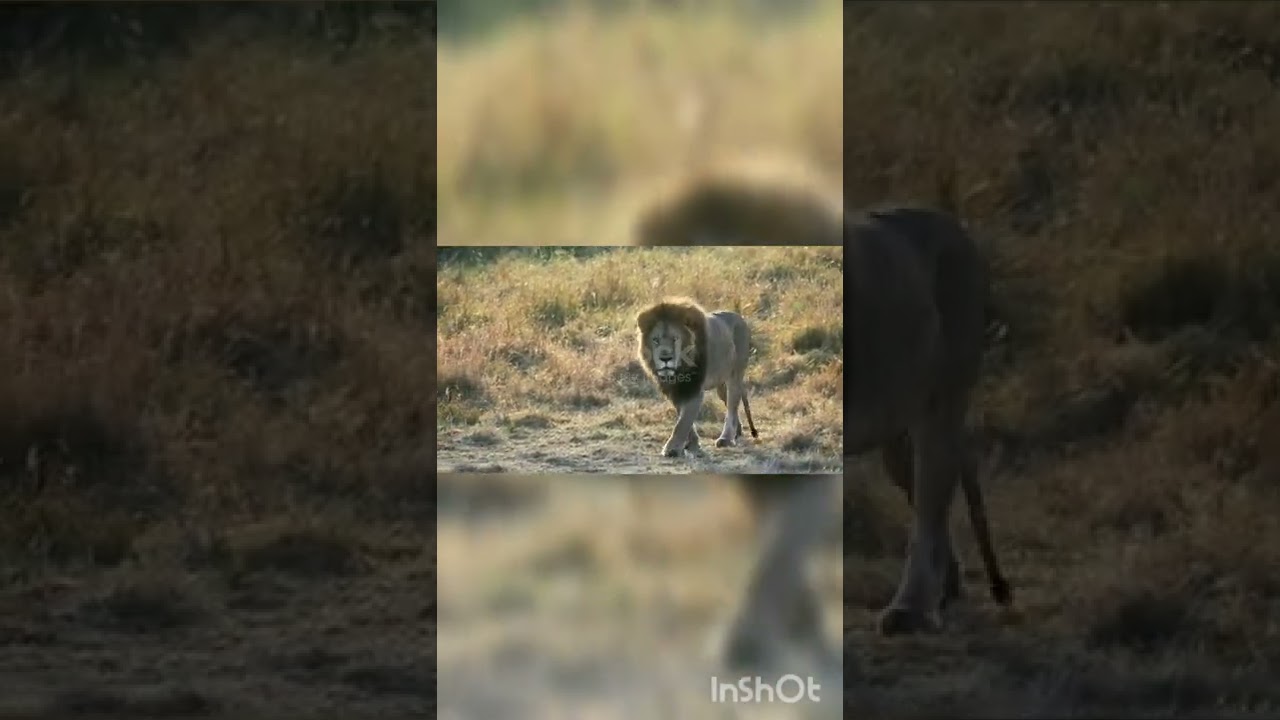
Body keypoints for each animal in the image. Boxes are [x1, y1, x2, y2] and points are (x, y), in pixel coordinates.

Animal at [635, 298, 759, 457]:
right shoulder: (675, 390)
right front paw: (692, 443)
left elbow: (683, 421)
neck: (679, 370)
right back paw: (737, 432)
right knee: (732, 403)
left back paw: (726, 438)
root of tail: (740, 317)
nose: (665, 358)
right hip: (721, 385)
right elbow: (683, 417)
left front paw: (671, 448)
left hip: (735, 375)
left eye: (675, 339)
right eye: (655, 340)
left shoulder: (694, 389)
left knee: (732, 406)